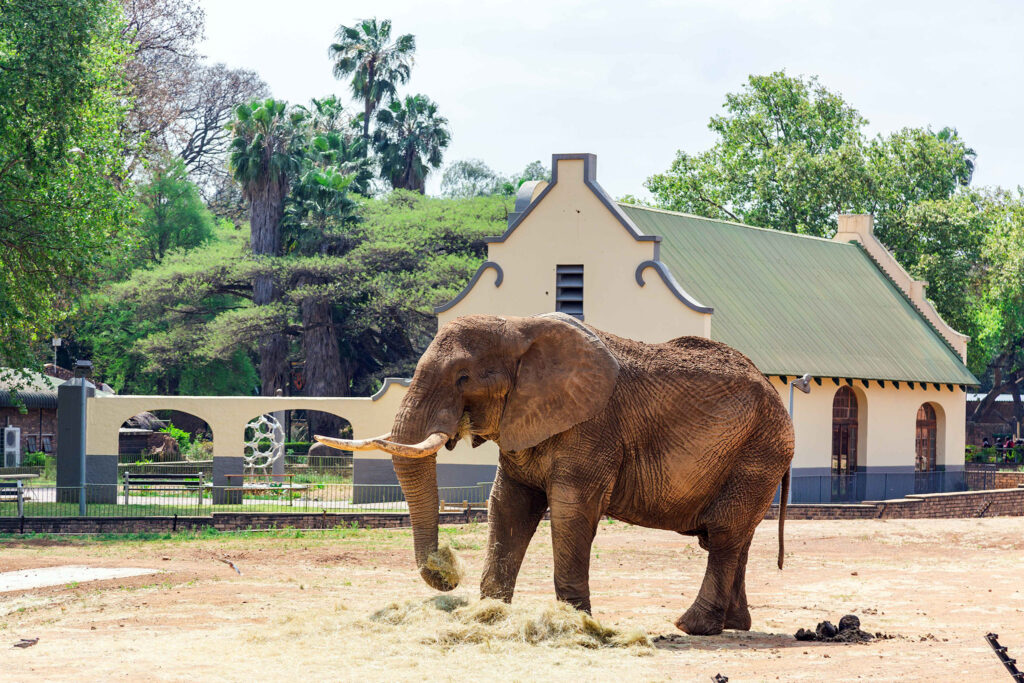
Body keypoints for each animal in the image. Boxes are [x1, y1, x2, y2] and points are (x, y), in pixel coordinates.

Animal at [315, 313, 794, 634]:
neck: (519, 328)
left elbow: (570, 510)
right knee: (734, 536)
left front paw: (575, 621)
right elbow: (508, 505)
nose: (447, 575)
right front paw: (490, 615)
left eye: (463, 377)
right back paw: (734, 625)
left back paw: (692, 626)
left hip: (759, 451)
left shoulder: (593, 427)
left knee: (725, 534)